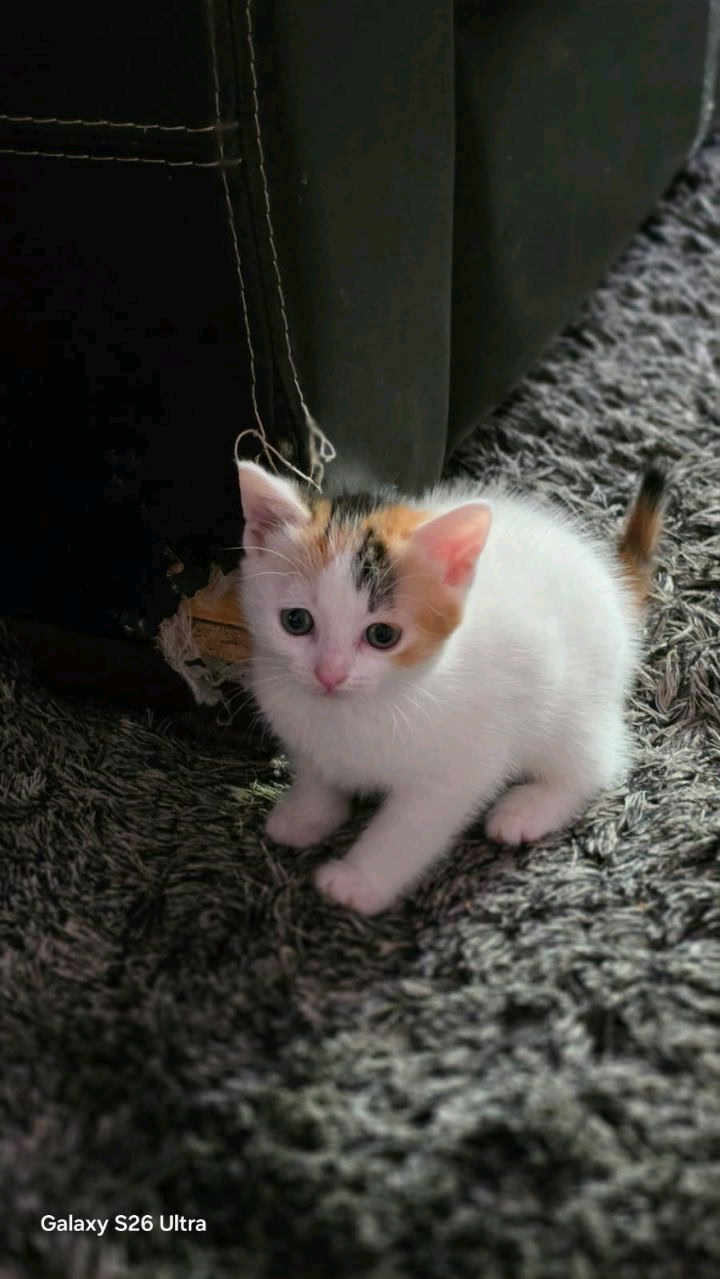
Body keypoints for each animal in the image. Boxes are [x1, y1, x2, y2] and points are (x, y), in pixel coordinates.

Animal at [237, 460, 665, 915]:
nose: (329, 674)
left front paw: (359, 881)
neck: (360, 707)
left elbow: (407, 828)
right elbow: (317, 776)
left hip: (574, 705)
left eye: (382, 635)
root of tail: (612, 589)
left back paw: (528, 809)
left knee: (597, 764)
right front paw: (306, 816)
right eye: (296, 621)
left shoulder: (459, 768)